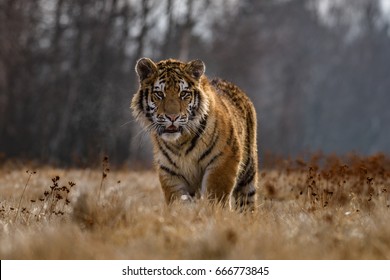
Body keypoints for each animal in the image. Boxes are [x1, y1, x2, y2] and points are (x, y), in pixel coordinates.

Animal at [132, 57, 258, 210]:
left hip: (248, 173)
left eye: (183, 94)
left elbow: (216, 197)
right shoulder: (169, 171)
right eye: (159, 94)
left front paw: (215, 213)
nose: (172, 117)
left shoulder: (223, 160)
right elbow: (178, 202)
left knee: (247, 203)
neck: (180, 142)